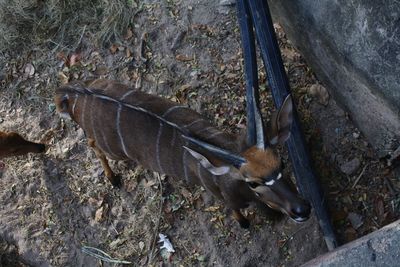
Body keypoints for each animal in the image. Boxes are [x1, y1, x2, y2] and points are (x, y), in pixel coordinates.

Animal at [54, 79, 310, 228]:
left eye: (282, 165)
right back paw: (113, 178)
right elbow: (237, 211)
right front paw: (245, 223)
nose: (302, 209)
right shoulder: (227, 198)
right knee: (92, 143)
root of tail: (75, 95)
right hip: (113, 151)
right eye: (253, 183)